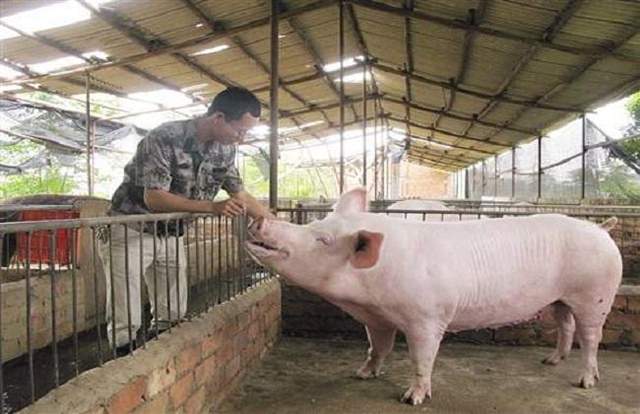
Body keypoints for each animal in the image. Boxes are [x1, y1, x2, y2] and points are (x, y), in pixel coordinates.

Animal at [245, 188, 620, 404]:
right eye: (314, 224)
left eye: (322, 239)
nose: (260, 220)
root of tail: (601, 229)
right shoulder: (377, 318)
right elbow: (377, 346)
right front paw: (362, 374)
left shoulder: (427, 317)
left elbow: (421, 358)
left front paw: (411, 399)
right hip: (561, 298)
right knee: (566, 325)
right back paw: (551, 361)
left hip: (596, 295)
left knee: (591, 337)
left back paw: (585, 382)